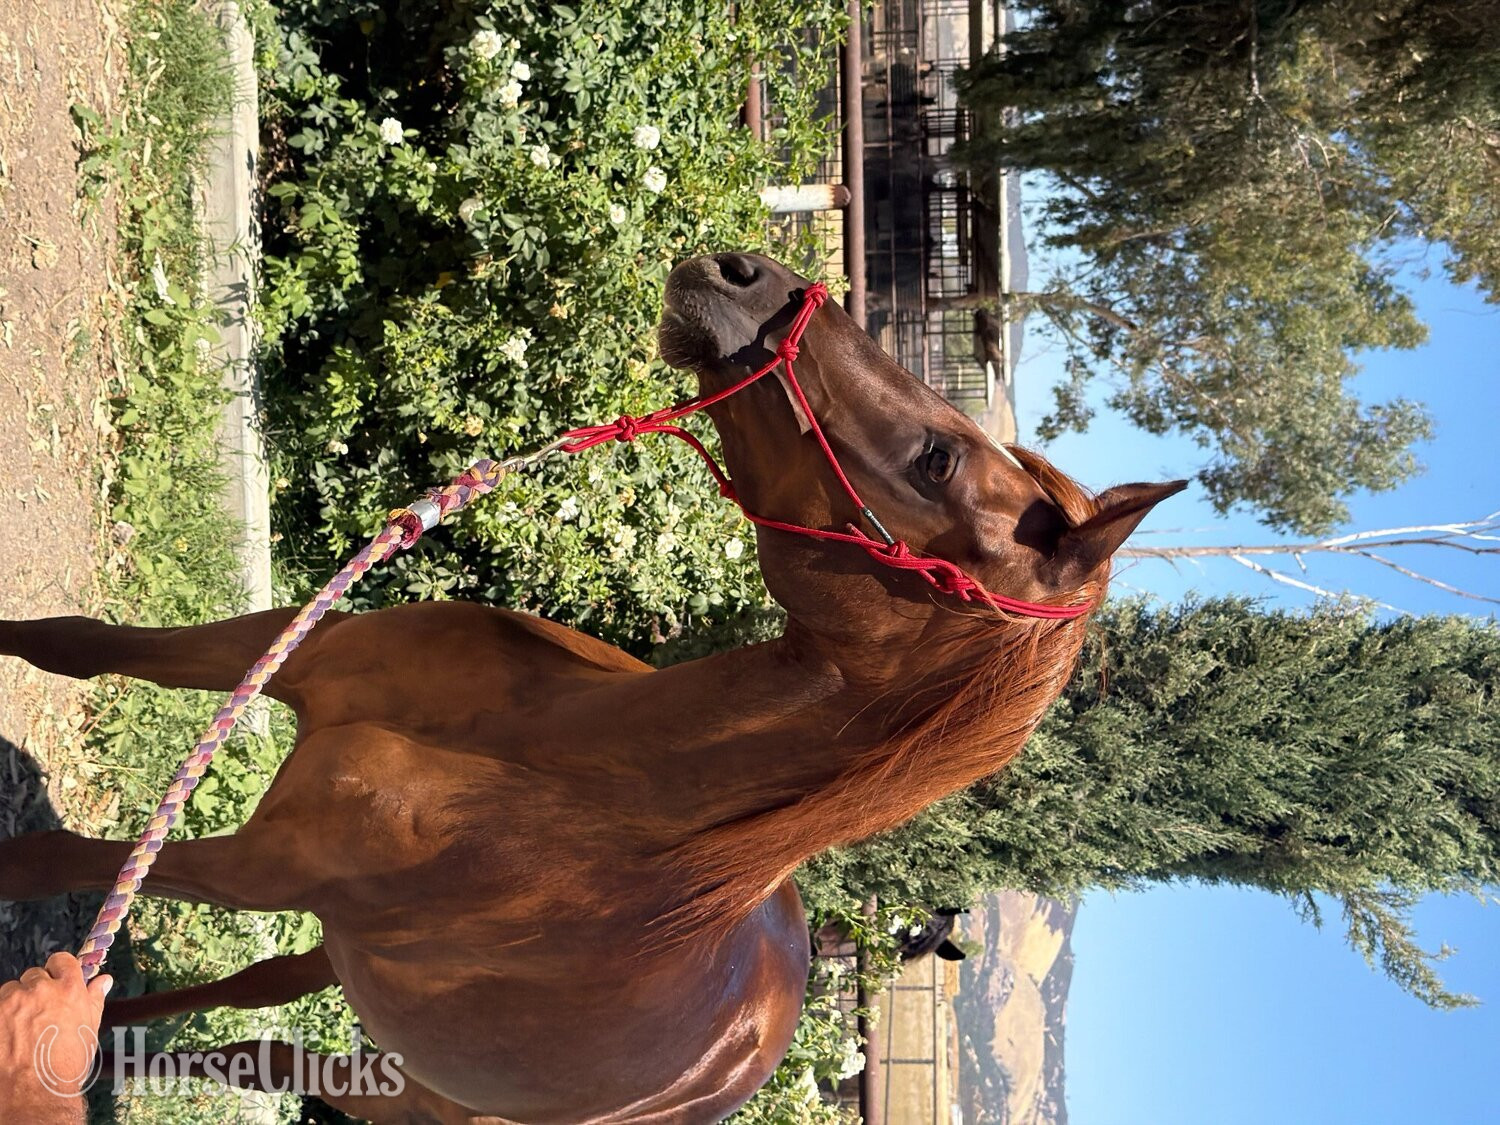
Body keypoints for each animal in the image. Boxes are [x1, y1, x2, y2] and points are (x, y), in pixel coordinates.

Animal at [0, 252, 1183, 1122]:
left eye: (937, 461)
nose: (743, 268)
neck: (555, 757)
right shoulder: (295, 653)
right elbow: (74, 642)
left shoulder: (261, 866)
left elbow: (49, 861)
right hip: (348, 966)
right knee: (249, 997)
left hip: (402, 1081)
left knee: (249, 1054)